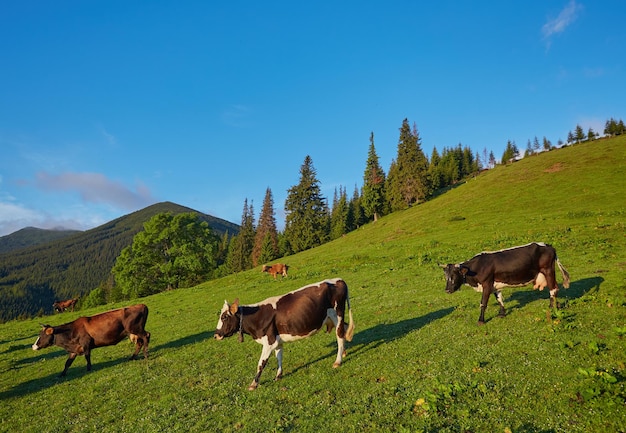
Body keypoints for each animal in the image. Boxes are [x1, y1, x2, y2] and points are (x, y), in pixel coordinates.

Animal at [213, 278, 352, 390]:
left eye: (224, 317)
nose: (216, 335)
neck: (257, 317)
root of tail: (338, 280)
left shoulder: (269, 341)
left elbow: (261, 363)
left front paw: (254, 384)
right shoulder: (277, 341)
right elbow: (279, 357)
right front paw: (278, 376)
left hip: (337, 313)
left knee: (340, 334)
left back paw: (338, 361)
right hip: (331, 318)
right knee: (344, 330)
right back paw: (343, 352)